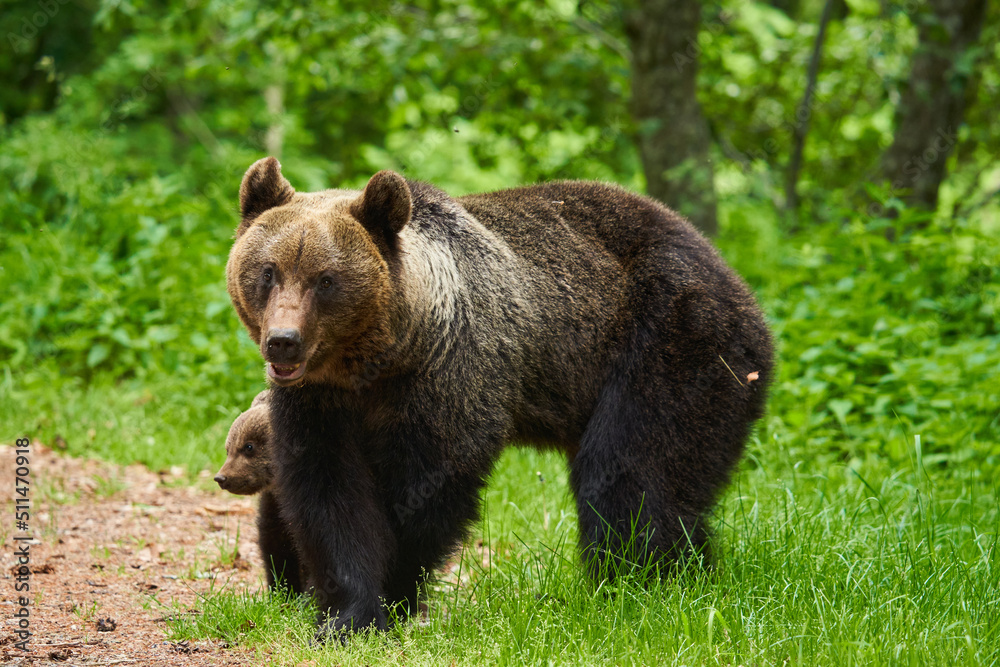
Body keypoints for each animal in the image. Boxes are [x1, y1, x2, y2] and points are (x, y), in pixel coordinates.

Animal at [227, 158, 772, 640]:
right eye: (268, 271)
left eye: (326, 279)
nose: (283, 341)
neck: (381, 360)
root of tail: (736, 280)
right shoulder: (318, 402)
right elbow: (328, 494)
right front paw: (347, 614)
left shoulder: (449, 378)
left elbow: (426, 489)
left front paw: (396, 596)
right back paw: (686, 576)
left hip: (670, 341)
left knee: (630, 471)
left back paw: (635, 586)